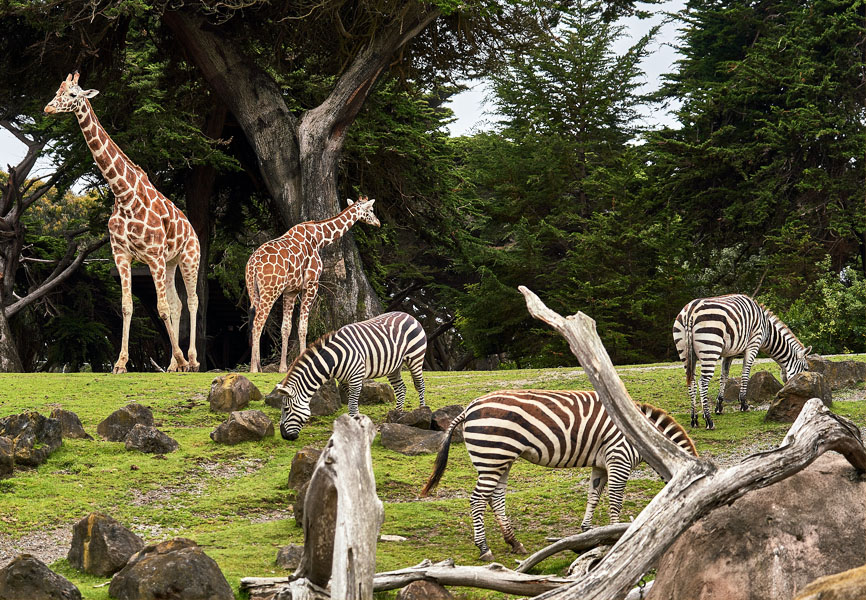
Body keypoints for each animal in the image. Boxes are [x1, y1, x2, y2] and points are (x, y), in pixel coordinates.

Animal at [44, 72, 200, 373]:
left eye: (73, 95)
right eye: (57, 90)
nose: (47, 108)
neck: (123, 193)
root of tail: (191, 228)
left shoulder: (153, 256)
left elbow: (161, 307)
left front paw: (179, 358)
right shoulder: (122, 254)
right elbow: (128, 305)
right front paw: (120, 363)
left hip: (189, 257)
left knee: (192, 300)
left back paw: (192, 360)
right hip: (171, 262)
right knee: (177, 303)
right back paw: (174, 365)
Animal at [246, 197, 380, 373]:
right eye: (371, 210)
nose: (378, 223)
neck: (319, 238)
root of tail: (253, 265)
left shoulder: (291, 291)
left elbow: (286, 328)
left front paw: (283, 368)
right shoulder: (311, 284)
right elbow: (303, 327)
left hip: (253, 291)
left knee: (254, 322)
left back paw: (257, 366)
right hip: (270, 291)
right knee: (258, 322)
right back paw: (254, 369)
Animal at [275, 311, 427, 441]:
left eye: (286, 409)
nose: (284, 436)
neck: (334, 359)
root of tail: (408, 315)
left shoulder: (356, 377)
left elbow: (352, 405)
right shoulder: (344, 381)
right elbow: (352, 403)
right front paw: (356, 422)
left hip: (416, 357)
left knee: (420, 385)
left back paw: (422, 412)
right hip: (394, 366)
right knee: (401, 388)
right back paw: (397, 415)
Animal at [420, 389, 697, 561]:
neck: (643, 436)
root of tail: (469, 407)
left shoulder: (601, 464)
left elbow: (593, 495)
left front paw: (587, 531)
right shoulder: (619, 458)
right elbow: (615, 501)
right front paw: (616, 535)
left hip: (499, 459)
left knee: (495, 498)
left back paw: (514, 542)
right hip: (493, 455)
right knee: (478, 499)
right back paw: (484, 548)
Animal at [672, 293, 811, 430]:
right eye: (805, 369)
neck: (767, 331)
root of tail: (690, 311)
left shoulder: (729, 352)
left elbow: (724, 376)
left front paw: (719, 406)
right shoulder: (753, 344)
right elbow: (745, 374)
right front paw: (744, 404)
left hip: (685, 352)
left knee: (691, 382)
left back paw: (694, 419)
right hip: (710, 347)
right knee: (702, 383)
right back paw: (709, 421)